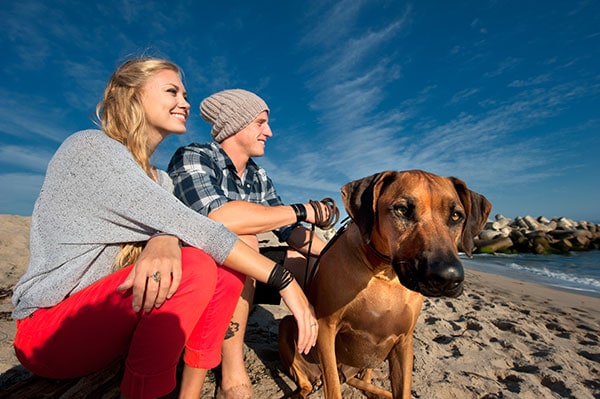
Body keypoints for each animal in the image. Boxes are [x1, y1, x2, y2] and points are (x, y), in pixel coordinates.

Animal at [278, 170, 490, 398]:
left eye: (456, 216)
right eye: (402, 210)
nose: (448, 277)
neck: (385, 274)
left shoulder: (404, 342)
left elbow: (403, 389)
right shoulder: (325, 327)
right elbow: (333, 388)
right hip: (289, 326)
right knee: (307, 383)